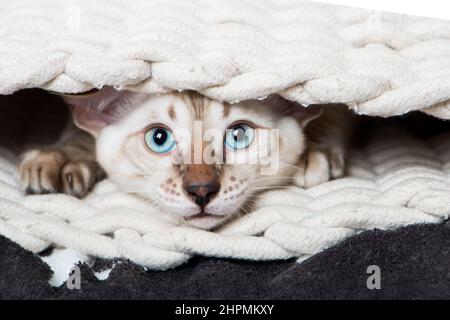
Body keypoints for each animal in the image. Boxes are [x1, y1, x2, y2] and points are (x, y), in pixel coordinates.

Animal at [17, 87, 352, 230]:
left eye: (239, 135)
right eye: (159, 138)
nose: (201, 191)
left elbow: (334, 109)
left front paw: (313, 154)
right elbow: (77, 133)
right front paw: (58, 160)